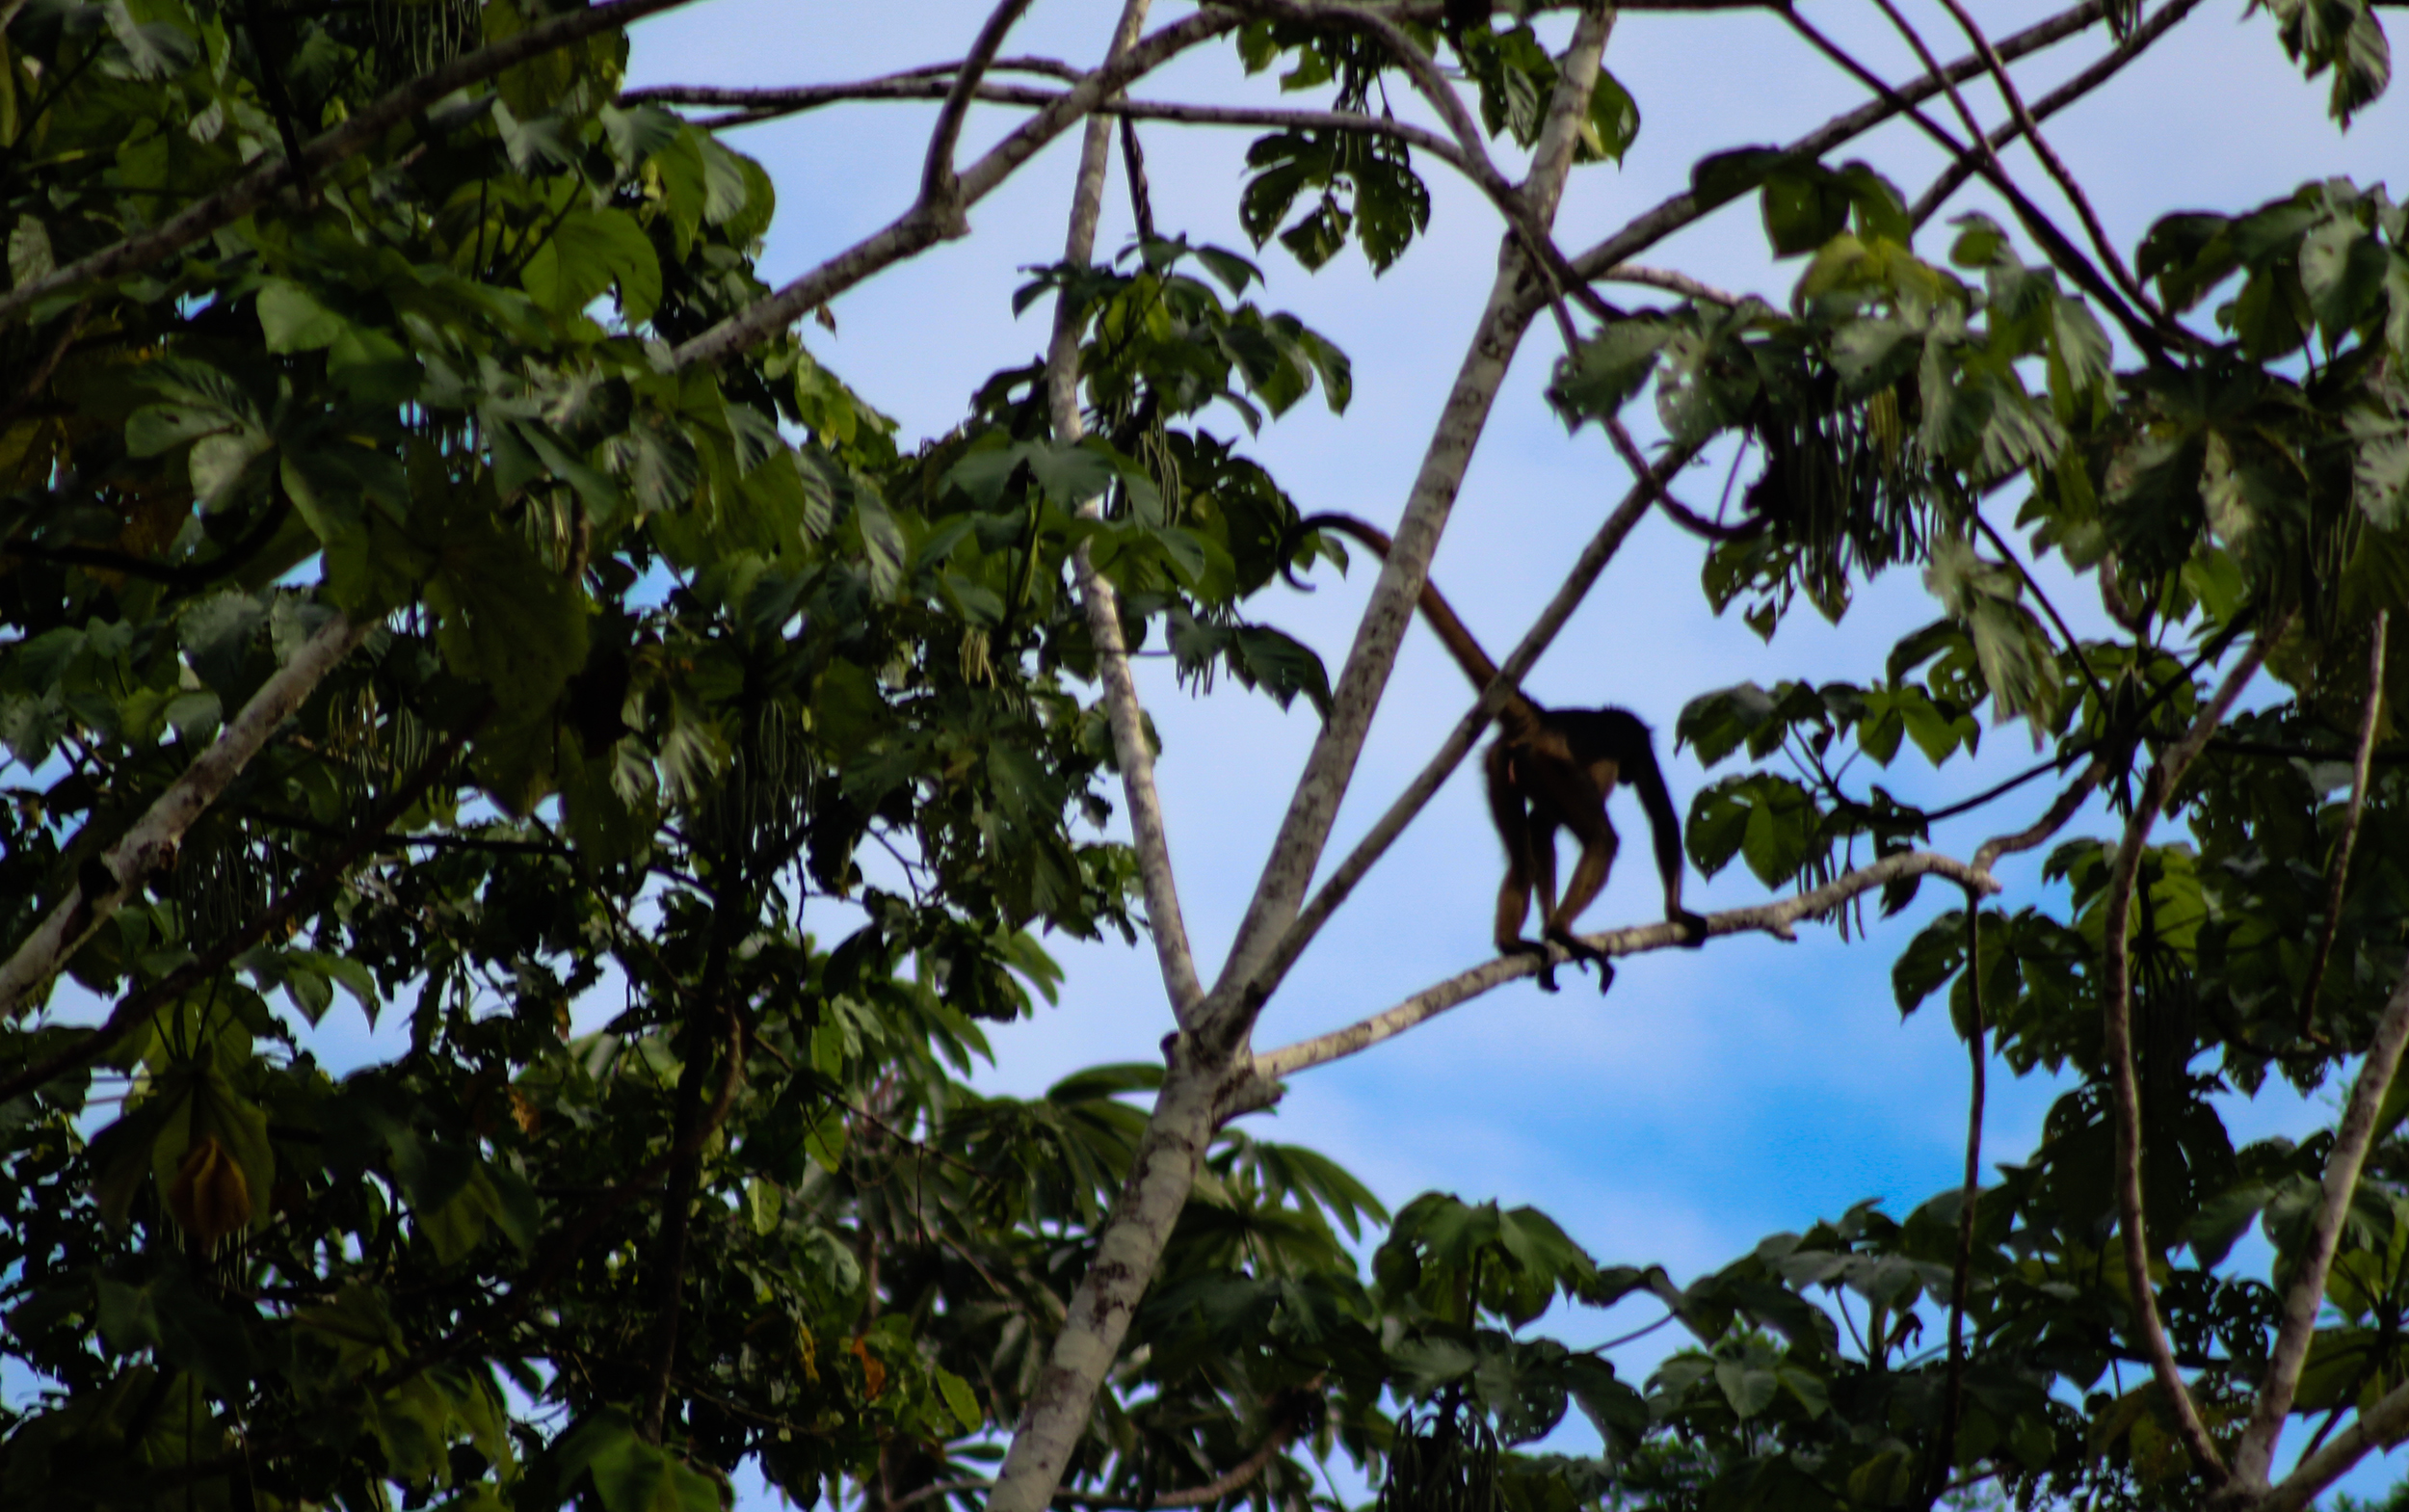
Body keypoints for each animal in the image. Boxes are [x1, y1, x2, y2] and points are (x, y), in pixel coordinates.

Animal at [1291, 513, 1706, 996]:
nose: (1620, 778)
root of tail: (1544, 719)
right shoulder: (1638, 745)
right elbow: (1661, 817)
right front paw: (1677, 914)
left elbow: (1542, 830)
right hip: (1544, 761)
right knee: (1601, 837)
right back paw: (1560, 930)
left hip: (1501, 765)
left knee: (1525, 848)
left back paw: (1516, 941)